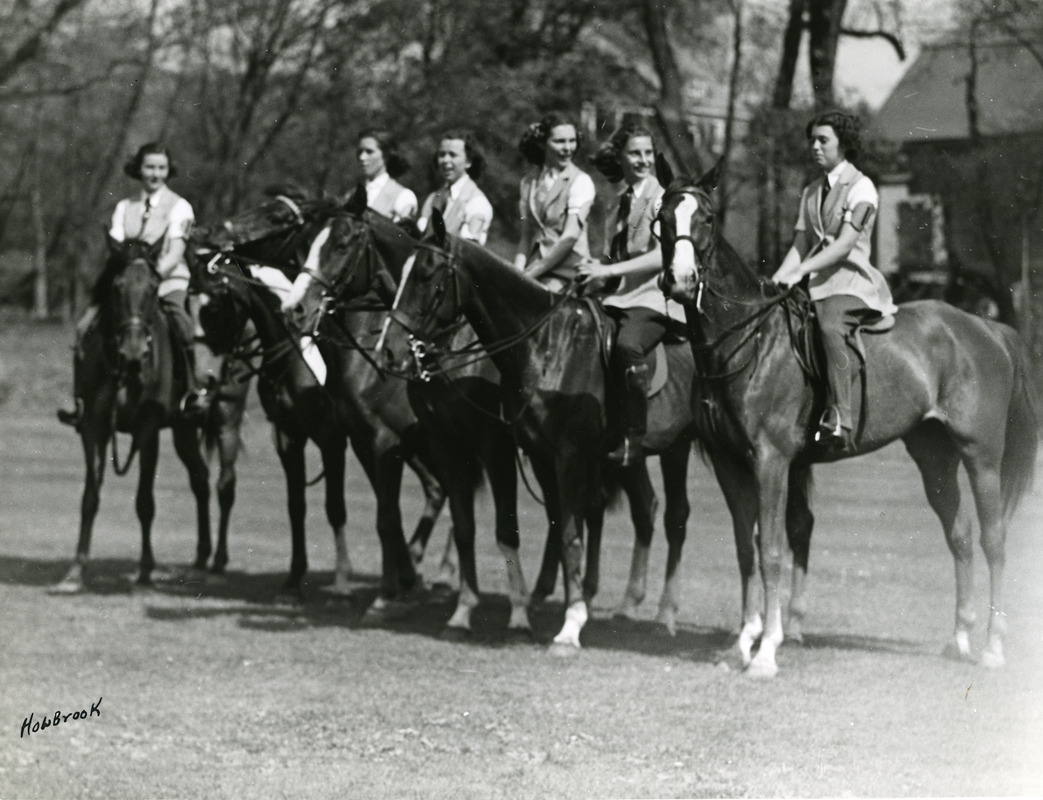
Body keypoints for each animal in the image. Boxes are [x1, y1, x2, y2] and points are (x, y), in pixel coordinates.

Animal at [50, 237, 226, 592]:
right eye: (116, 288)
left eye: (153, 287)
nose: (134, 353)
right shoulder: (93, 429)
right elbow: (89, 498)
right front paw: (75, 571)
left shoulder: (148, 429)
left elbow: (145, 502)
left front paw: (145, 571)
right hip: (184, 431)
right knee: (200, 478)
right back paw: (201, 558)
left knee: (205, 480)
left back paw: (206, 560)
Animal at [191, 189, 448, 600]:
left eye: (215, 308)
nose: (208, 235)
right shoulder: (291, 436)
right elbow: (298, 504)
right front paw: (295, 578)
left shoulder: (334, 438)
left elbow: (337, 506)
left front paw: (343, 577)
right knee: (437, 490)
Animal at [377, 209, 759, 655]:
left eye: (426, 274)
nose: (390, 350)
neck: (546, 346)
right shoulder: (532, 455)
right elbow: (547, 528)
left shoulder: (554, 454)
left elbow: (565, 534)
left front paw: (566, 625)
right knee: (647, 509)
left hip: (679, 449)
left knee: (676, 518)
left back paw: (665, 615)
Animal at [655, 160, 1038, 675]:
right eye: (661, 216)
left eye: (708, 217)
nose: (678, 279)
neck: (748, 340)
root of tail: (987, 327)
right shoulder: (731, 465)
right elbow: (745, 551)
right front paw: (742, 643)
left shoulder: (771, 462)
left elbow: (771, 551)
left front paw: (767, 650)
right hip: (934, 456)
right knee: (960, 536)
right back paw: (959, 638)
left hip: (982, 457)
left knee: (993, 540)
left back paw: (993, 646)